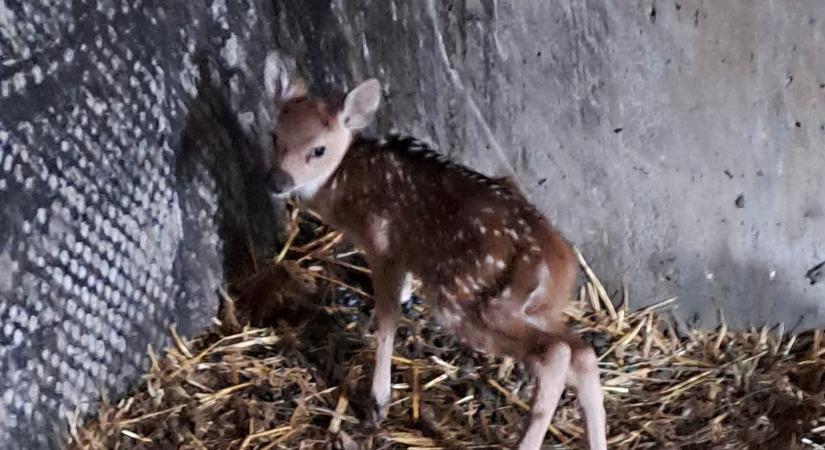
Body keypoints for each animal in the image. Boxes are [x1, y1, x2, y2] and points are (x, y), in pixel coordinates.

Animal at [268, 78, 604, 450]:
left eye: (318, 150)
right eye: (274, 135)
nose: (278, 181)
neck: (346, 181)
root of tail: (560, 266)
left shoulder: (383, 245)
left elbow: (387, 319)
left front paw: (378, 402)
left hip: (466, 298)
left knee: (555, 354)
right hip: (535, 308)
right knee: (582, 353)